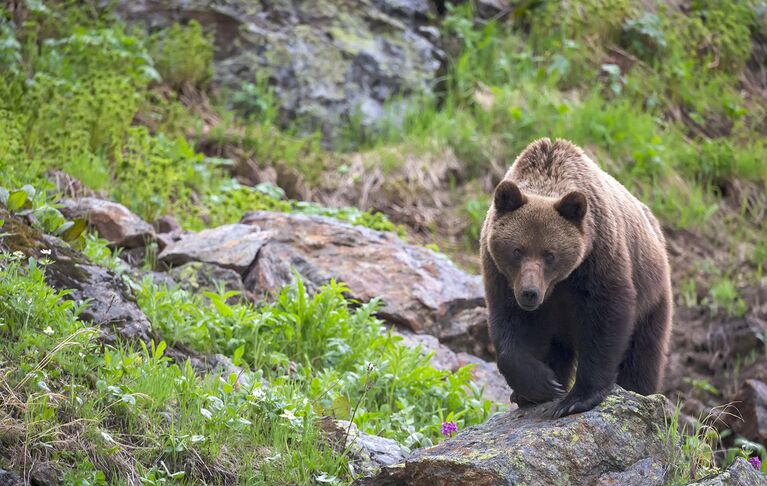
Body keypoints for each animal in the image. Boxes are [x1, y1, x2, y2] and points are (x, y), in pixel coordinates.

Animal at [480, 137, 672, 418]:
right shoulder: (501, 275)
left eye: (549, 254)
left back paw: (639, 390)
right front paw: (543, 385)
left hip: (653, 294)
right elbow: (509, 327)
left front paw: (574, 399)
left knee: (643, 353)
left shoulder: (598, 258)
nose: (529, 293)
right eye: (517, 250)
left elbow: (605, 320)